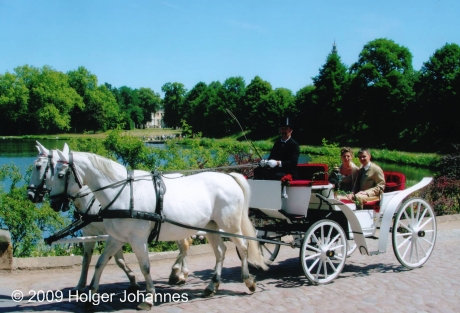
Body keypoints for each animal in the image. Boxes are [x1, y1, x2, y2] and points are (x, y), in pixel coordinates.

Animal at [26, 142, 190, 292]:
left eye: (39, 167)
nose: (30, 195)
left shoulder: (112, 233)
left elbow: (118, 260)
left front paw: (132, 280)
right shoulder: (91, 233)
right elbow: (87, 259)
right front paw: (81, 285)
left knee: (184, 245)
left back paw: (178, 273)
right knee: (184, 245)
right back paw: (180, 273)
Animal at [49, 149, 266, 310]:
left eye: (60, 174)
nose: (53, 203)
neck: (124, 193)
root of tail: (229, 177)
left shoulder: (137, 239)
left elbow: (145, 267)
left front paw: (149, 298)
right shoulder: (117, 237)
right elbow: (101, 263)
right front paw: (91, 294)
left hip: (230, 225)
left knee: (243, 247)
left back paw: (248, 281)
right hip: (211, 226)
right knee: (221, 252)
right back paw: (211, 285)